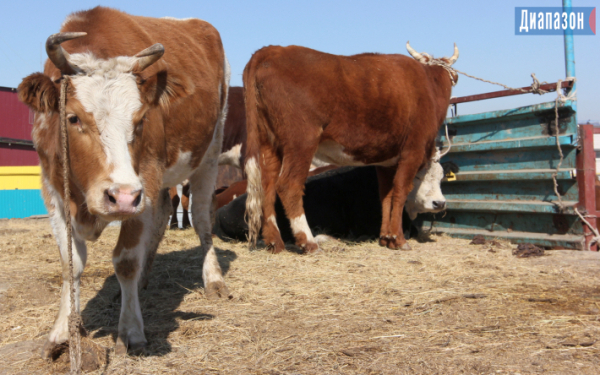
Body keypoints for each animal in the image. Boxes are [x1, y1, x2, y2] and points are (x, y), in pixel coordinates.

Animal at [17, 7, 230, 356]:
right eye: (73, 118)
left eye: (141, 120)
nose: (122, 197)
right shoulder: (53, 191)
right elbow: (71, 264)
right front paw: (63, 331)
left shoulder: (144, 182)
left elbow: (126, 260)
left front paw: (131, 331)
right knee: (163, 213)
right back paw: (142, 281)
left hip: (210, 152)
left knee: (200, 218)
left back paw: (213, 280)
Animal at [241, 42, 458, 254]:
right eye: (420, 177)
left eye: (441, 178)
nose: (439, 204)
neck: (427, 85)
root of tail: (273, 50)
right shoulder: (413, 151)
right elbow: (401, 190)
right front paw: (398, 239)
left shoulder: (386, 162)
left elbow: (386, 196)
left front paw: (386, 238)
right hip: (301, 141)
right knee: (289, 185)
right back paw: (308, 242)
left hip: (269, 144)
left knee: (267, 187)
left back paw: (274, 242)